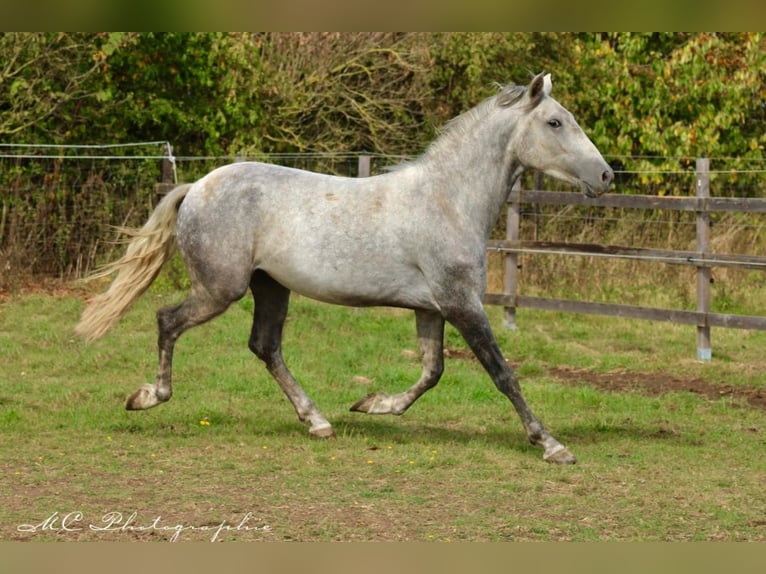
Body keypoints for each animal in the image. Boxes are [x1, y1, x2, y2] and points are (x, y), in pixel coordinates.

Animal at [78, 73, 616, 468]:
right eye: (555, 122)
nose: (607, 176)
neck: (447, 201)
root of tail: (197, 186)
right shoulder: (463, 304)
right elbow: (502, 373)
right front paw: (551, 445)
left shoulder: (432, 308)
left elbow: (432, 372)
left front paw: (373, 404)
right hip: (220, 289)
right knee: (168, 321)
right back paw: (149, 396)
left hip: (270, 287)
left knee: (265, 346)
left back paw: (318, 421)